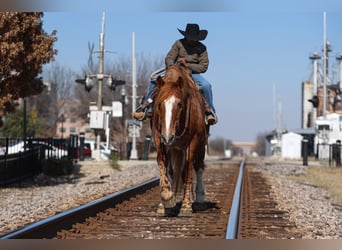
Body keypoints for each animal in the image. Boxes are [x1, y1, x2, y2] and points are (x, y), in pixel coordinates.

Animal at [152, 64, 208, 217]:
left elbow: (188, 172)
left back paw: (199, 200)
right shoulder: (159, 140)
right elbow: (163, 166)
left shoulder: (193, 143)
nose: (168, 137)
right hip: (174, 148)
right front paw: (166, 200)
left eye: (179, 104)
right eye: (159, 105)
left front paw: (186, 206)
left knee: (198, 168)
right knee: (172, 171)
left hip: (200, 146)